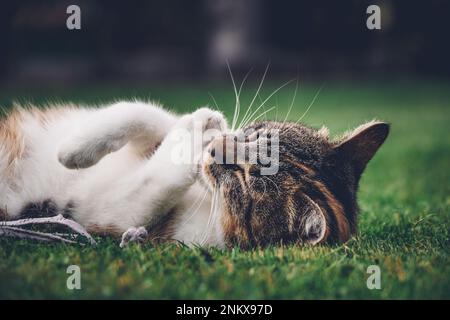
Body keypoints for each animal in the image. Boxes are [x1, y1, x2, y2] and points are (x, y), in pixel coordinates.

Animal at [0, 100, 388, 248]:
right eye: (257, 135)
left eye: (246, 180)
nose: (215, 148)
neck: (205, 195)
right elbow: (142, 112)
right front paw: (73, 149)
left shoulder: (106, 214)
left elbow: (153, 182)